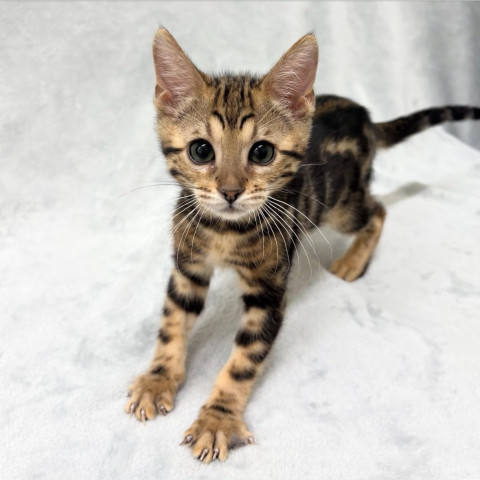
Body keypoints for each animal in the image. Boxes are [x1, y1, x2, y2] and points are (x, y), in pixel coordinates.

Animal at [125, 28, 480, 463]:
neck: (226, 230)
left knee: (377, 210)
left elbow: (243, 360)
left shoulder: (269, 292)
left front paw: (218, 418)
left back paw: (353, 260)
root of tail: (365, 116)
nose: (230, 191)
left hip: (341, 208)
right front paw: (157, 380)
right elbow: (172, 324)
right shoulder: (187, 268)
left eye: (262, 152)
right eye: (201, 150)